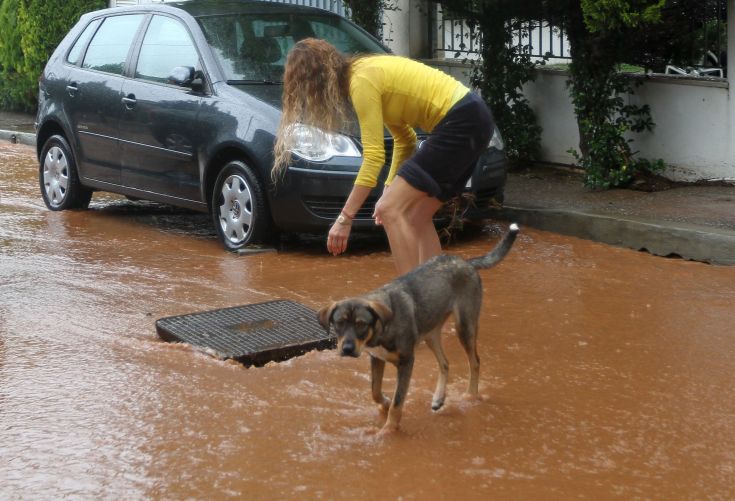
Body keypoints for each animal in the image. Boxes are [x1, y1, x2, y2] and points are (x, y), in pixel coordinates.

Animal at [316, 223, 516, 434]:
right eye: (339, 322)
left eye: (361, 324)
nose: (346, 349)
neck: (382, 328)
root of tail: (466, 262)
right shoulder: (377, 359)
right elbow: (375, 391)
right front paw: (384, 403)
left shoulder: (406, 362)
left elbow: (398, 402)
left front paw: (389, 430)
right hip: (431, 333)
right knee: (445, 363)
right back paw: (438, 399)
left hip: (464, 326)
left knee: (475, 362)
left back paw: (470, 396)